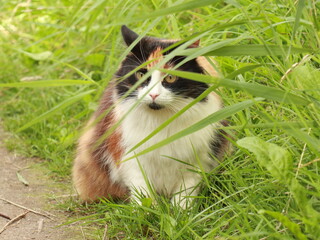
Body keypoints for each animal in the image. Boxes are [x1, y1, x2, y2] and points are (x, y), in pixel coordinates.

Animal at [72, 24, 230, 208]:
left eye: (170, 77)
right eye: (141, 75)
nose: (153, 95)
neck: (161, 122)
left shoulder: (197, 160)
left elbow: (184, 194)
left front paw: (181, 212)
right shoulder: (130, 157)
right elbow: (142, 192)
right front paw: (148, 211)